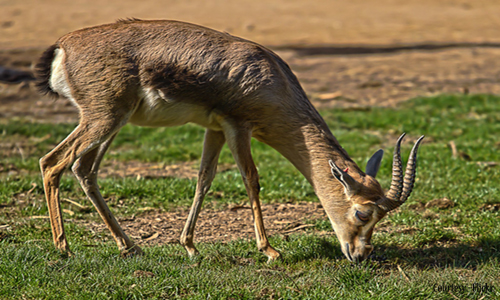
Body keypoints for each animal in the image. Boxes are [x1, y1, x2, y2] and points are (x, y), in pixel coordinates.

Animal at [35, 19, 424, 262]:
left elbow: (203, 180)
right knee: (52, 162)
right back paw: (64, 249)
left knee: (84, 169)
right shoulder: (238, 126)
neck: (273, 80)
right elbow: (251, 181)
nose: (359, 254)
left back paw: (129, 247)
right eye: (362, 212)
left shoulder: (216, 129)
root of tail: (63, 46)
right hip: (103, 119)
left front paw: (190, 247)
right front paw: (270, 251)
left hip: (112, 122)